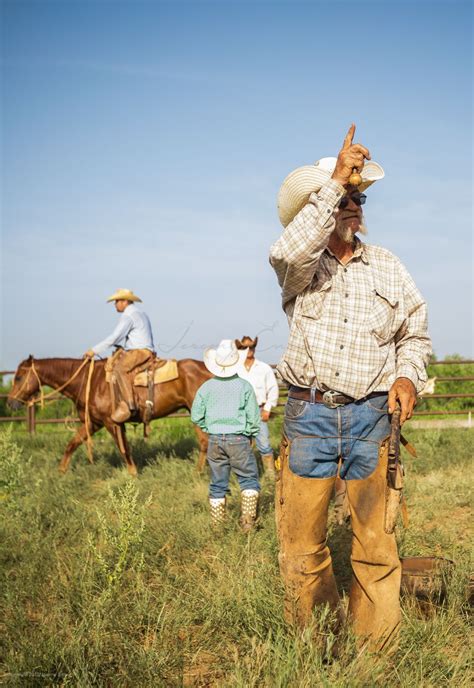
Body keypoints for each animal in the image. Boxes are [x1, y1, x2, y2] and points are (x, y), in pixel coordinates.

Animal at [6, 358, 211, 476]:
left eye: (18, 377)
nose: (9, 402)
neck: (88, 381)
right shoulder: (93, 423)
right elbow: (72, 443)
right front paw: (61, 472)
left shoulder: (111, 423)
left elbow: (124, 449)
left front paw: (133, 475)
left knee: (205, 442)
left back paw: (198, 472)